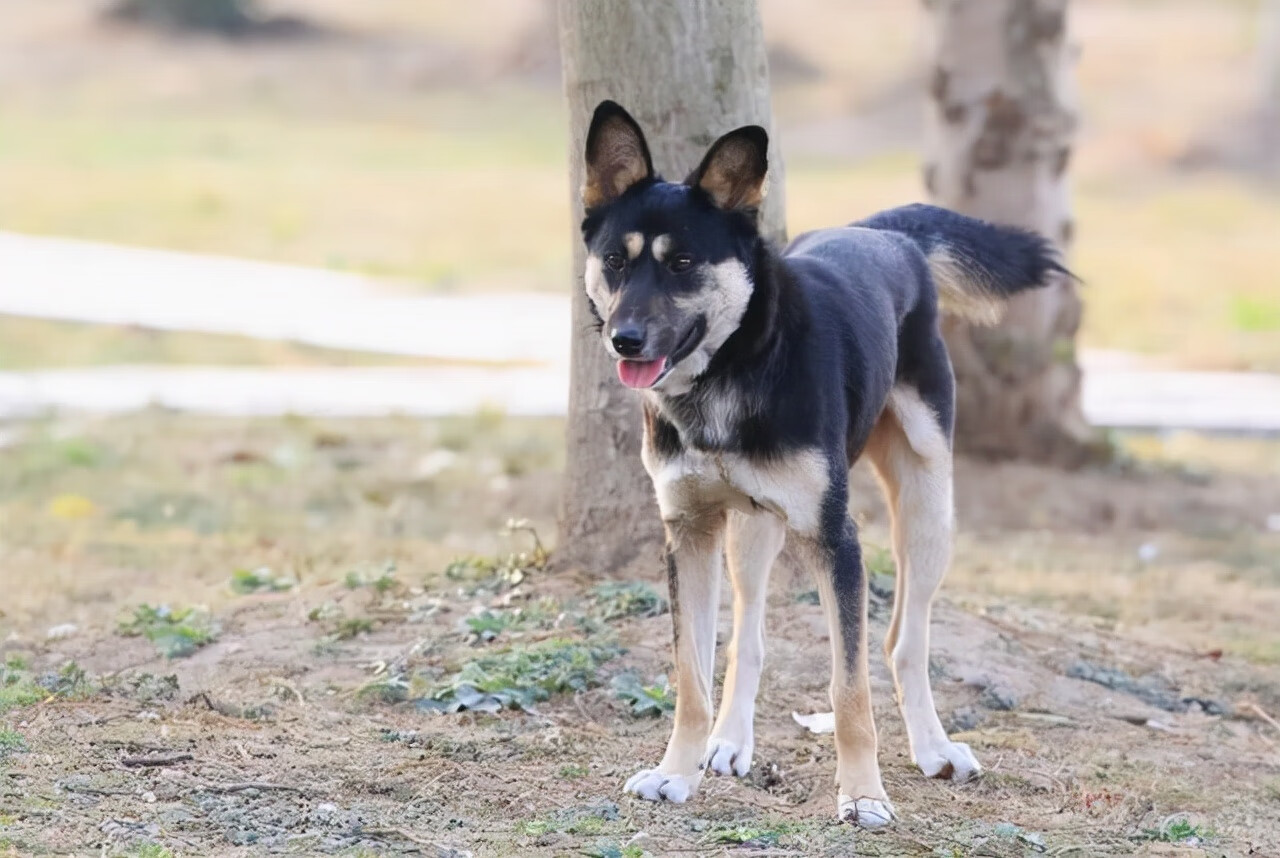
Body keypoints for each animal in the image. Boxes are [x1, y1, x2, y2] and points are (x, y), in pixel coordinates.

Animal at [576, 102, 1064, 834]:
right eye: (614, 260)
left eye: (683, 263)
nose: (623, 340)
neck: (733, 368)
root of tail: (887, 235)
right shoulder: (689, 532)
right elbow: (692, 675)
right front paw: (677, 772)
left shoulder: (838, 541)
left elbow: (849, 687)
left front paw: (863, 795)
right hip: (752, 531)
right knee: (749, 636)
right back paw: (730, 740)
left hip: (928, 506)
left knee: (904, 643)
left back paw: (935, 748)